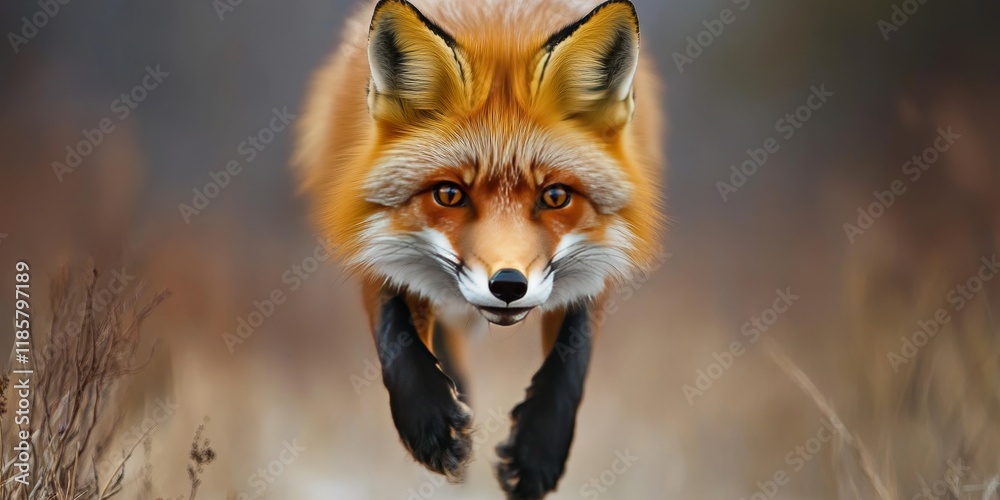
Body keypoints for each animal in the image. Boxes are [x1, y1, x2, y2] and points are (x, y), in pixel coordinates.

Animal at [293, 0, 664, 497]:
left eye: (555, 197)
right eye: (449, 195)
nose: (508, 286)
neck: (498, 27)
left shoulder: (601, 252)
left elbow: (573, 353)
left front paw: (538, 450)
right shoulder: (368, 230)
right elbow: (394, 330)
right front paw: (429, 421)